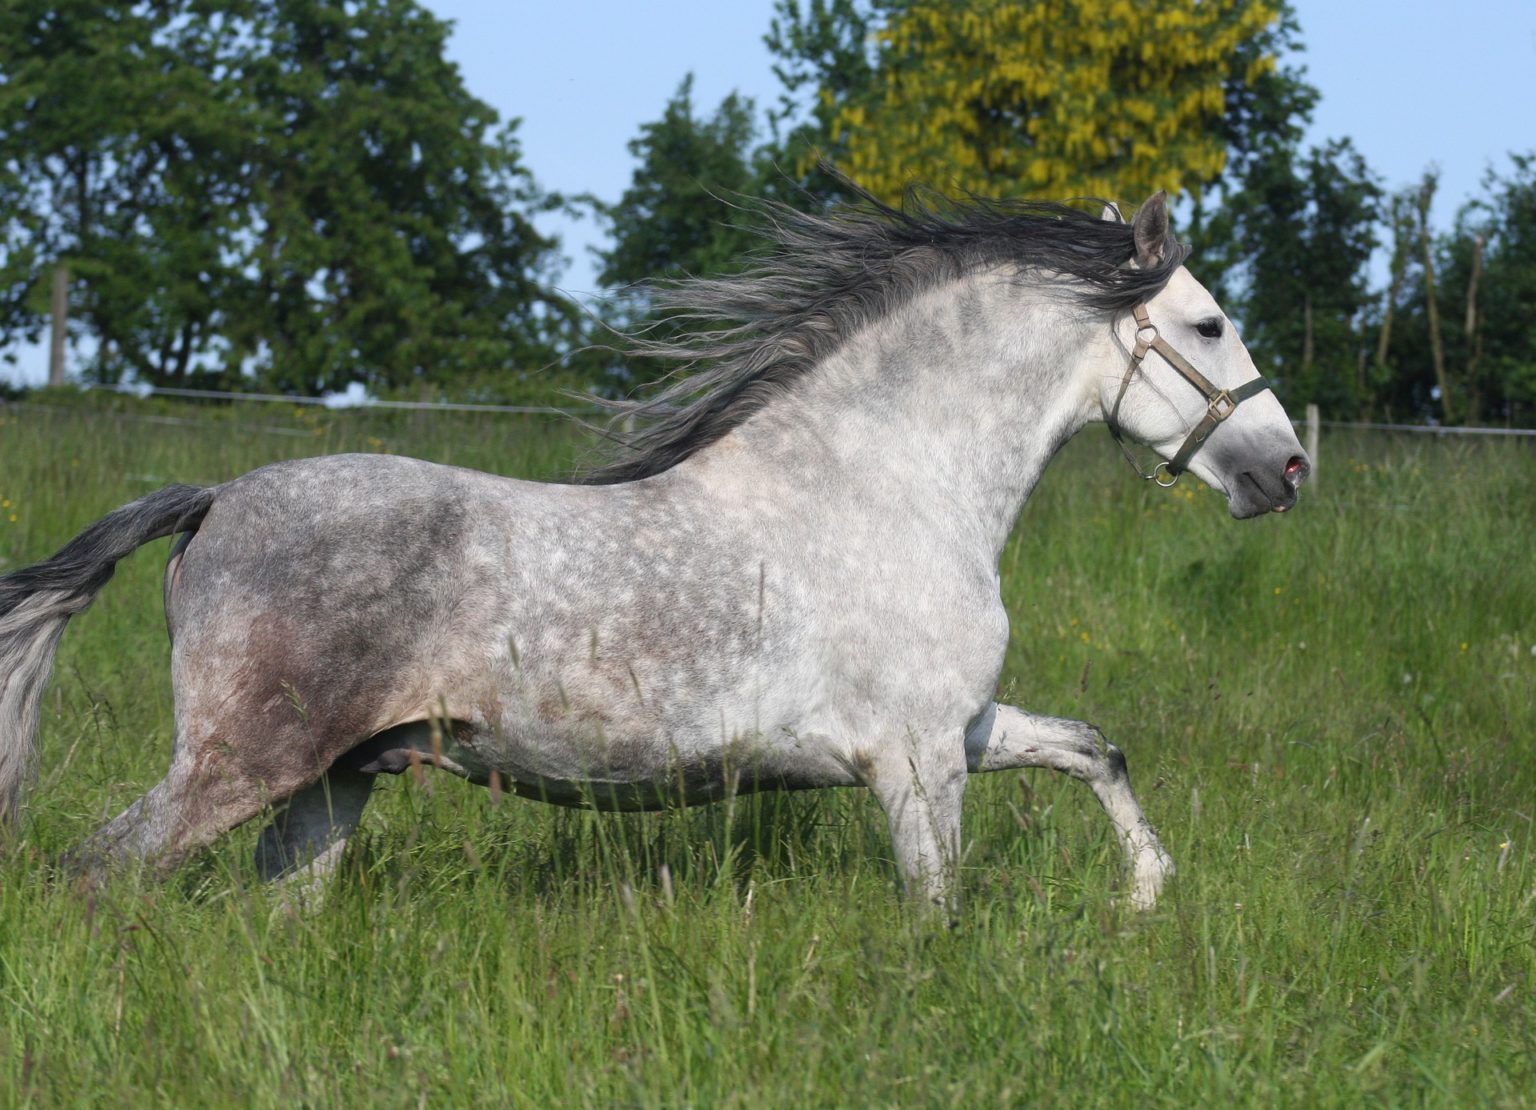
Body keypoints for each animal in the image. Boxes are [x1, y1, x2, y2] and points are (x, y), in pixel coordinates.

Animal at [0, 191, 1308, 915]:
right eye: (1208, 324)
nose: (1288, 468)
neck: (891, 485)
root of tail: (215, 501)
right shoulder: (917, 764)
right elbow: (939, 911)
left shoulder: (961, 730)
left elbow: (1093, 748)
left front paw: (1147, 895)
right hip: (239, 766)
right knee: (94, 875)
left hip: (333, 785)